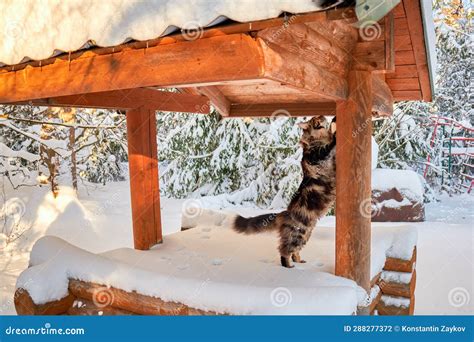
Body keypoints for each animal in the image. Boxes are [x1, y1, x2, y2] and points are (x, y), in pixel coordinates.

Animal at [231, 116, 336, 268]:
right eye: (315, 120)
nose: (322, 116)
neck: (318, 140)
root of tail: (284, 213)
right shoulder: (320, 154)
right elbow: (332, 143)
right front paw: (335, 129)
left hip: (305, 235)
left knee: (294, 251)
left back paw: (299, 261)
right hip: (298, 234)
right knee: (284, 250)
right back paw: (288, 266)